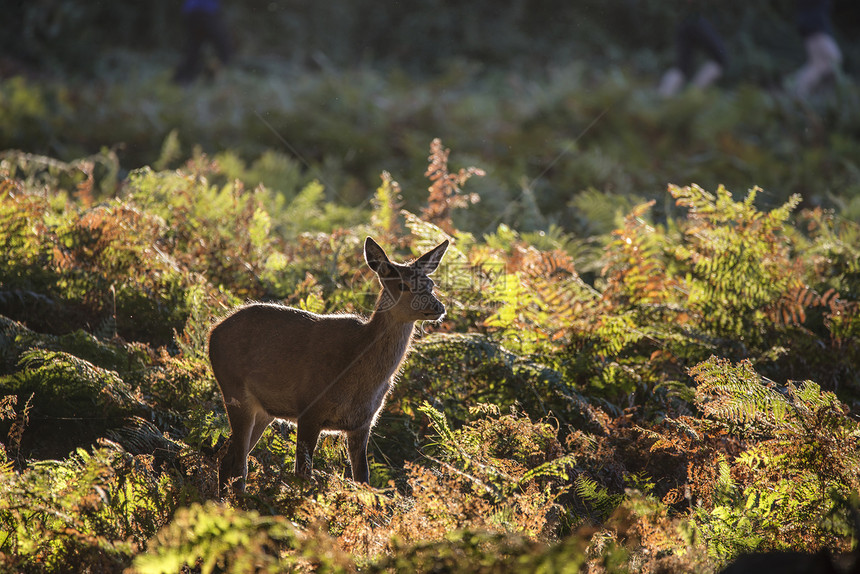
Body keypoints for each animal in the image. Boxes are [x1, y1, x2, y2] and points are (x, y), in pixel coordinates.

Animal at [208, 238, 450, 496]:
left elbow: (363, 480)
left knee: (228, 459)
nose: (438, 307)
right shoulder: (309, 408)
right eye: (403, 285)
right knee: (238, 464)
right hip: (233, 389)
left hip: (264, 410)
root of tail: (213, 331)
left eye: (431, 284)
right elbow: (302, 476)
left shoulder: (363, 422)